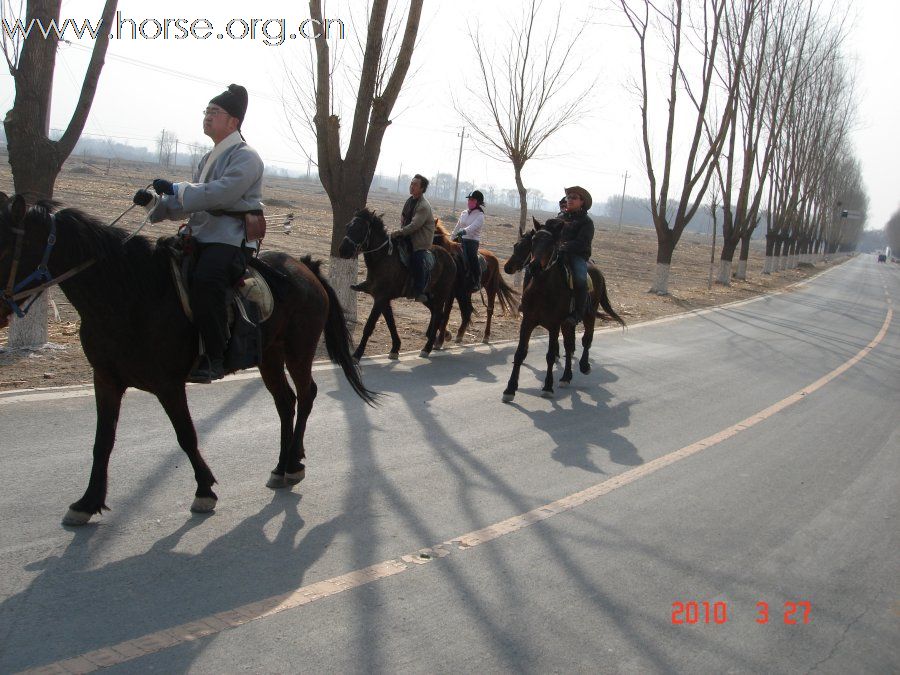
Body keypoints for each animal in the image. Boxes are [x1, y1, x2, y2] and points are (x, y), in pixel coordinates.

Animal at [0, 193, 376, 524]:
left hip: (298, 350)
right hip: (269, 355)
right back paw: (281, 467)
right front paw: (88, 502)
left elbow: (186, 436)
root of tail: (306, 267)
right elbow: (102, 442)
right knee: (286, 402)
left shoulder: (168, 384)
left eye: (4, 244)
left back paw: (294, 464)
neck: (129, 294)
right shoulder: (105, 379)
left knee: (307, 394)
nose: (2, 310)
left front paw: (204, 490)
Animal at [338, 209, 458, 362]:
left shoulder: (381, 299)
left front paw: (357, 354)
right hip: (427, 297)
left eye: (361, 228)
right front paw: (395, 348)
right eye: (348, 226)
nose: (343, 250)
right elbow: (391, 323)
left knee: (438, 315)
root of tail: (450, 258)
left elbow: (369, 326)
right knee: (438, 313)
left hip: (440, 295)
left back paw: (427, 348)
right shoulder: (383, 299)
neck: (383, 258)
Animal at [502, 219, 624, 404]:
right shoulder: (528, 321)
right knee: (569, 346)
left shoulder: (554, 325)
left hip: (588, 316)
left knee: (586, 340)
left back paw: (584, 366)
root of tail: (596, 269)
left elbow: (551, 355)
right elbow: (520, 353)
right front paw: (510, 389)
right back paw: (566, 376)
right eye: (533, 242)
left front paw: (547, 387)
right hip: (567, 324)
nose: (534, 266)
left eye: (551, 244)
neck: (543, 289)